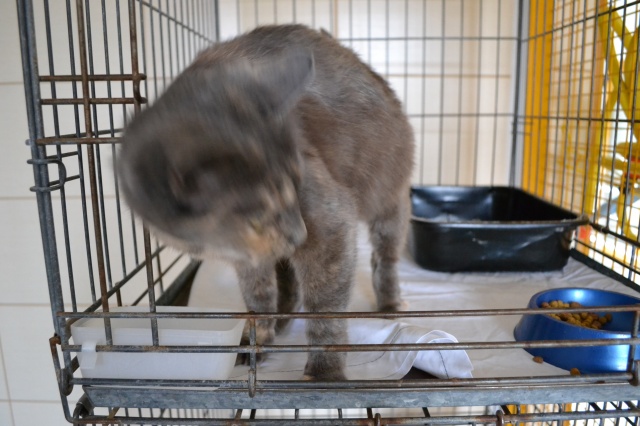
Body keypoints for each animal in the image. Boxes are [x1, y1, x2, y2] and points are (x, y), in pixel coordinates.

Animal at [118, 24, 415, 381]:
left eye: (297, 184)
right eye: (257, 217)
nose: (299, 232)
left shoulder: (331, 226)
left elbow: (325, 310)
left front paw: (324, 372)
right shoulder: (249, 257)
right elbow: (257, 296)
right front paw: (257, 338)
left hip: (388, 196)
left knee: (384, 257)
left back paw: (391, 305)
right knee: (290, 282)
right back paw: (284, 317)